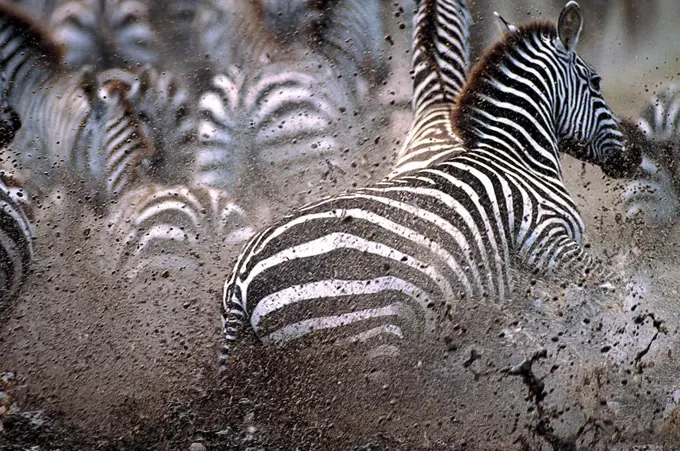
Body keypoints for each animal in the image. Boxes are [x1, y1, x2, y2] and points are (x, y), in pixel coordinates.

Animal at [222, 0, 636, 368]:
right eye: (596, 82)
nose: (631, 159)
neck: (516, 155)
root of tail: (239, 282)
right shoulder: (547, 241)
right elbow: (611, 285)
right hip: (367, 341)